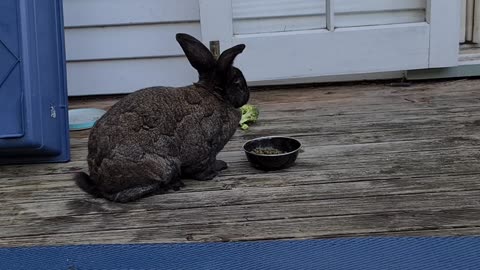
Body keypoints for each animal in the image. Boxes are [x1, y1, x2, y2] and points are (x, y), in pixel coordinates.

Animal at [74, 32, 251, 202]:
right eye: (237, 83)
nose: (247, 96)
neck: (215, 95)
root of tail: (99, 182)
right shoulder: (203, 148)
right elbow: (201, 167)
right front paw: (213, 172)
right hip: (160, 167)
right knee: (124, 196)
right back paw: (171, 185)